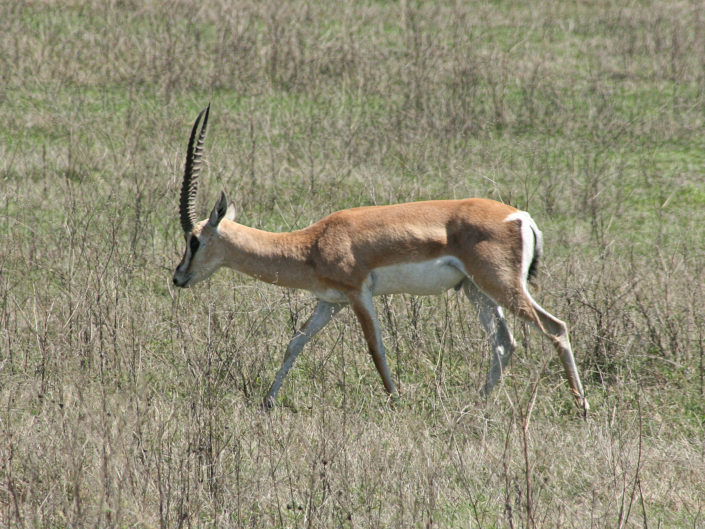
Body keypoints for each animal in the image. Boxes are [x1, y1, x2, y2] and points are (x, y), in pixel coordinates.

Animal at [172, 105, 589, 414]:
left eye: (195, 239)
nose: (177, 277)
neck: (312, 243)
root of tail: (520, 217)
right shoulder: (330, 302)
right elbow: (295, 342)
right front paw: (268, 402)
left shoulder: (359, 295)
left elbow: (376, 348)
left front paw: (396, 401)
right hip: (475, 290)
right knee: (504, 343)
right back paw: (473, 407)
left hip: (501, 285)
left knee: (555, 328)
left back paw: (582, 407)